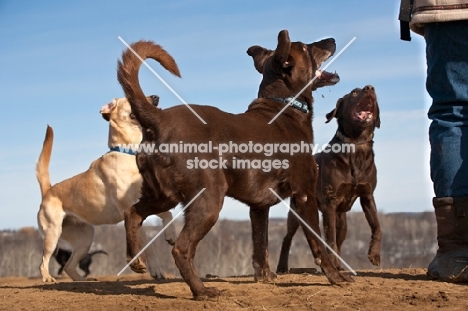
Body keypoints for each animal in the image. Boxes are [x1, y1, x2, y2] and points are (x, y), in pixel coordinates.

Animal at [35, 97, 176, 282]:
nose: (155, 97)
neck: (129, 153)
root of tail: (48, 191)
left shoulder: (146, 201)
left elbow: (168, 214)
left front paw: (171, 235)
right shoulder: (130, 208)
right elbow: (148, 245)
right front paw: (156, 270)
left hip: (85, 238)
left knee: (69, 266)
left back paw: (83, 282)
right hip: (53, 234)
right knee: (44, 261)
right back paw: (47, 278)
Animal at [116, 29, 352, 300]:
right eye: (304, 47)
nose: (332, 39)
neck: (284, 106)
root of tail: (159, 118)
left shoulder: (259, 207)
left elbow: (261, 244)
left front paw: (265, 277)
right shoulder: (304, 196)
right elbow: (318, 244)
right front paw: (336, 277)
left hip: (164, 195)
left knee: (132, 213)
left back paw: (136, 260)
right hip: (208, 199)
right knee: (181, 249)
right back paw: (201, 291)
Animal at [276, 85, 382, 272]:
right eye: (354, 92)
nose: (370, 87)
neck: (356, 144)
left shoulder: (367, 195)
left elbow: (377, 226)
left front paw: (374, 254)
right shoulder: (329, 204)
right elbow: (330, 239)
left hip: (342, 220)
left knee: (337, 241)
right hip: (296, 214)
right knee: (287, 237)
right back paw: (283, 266)